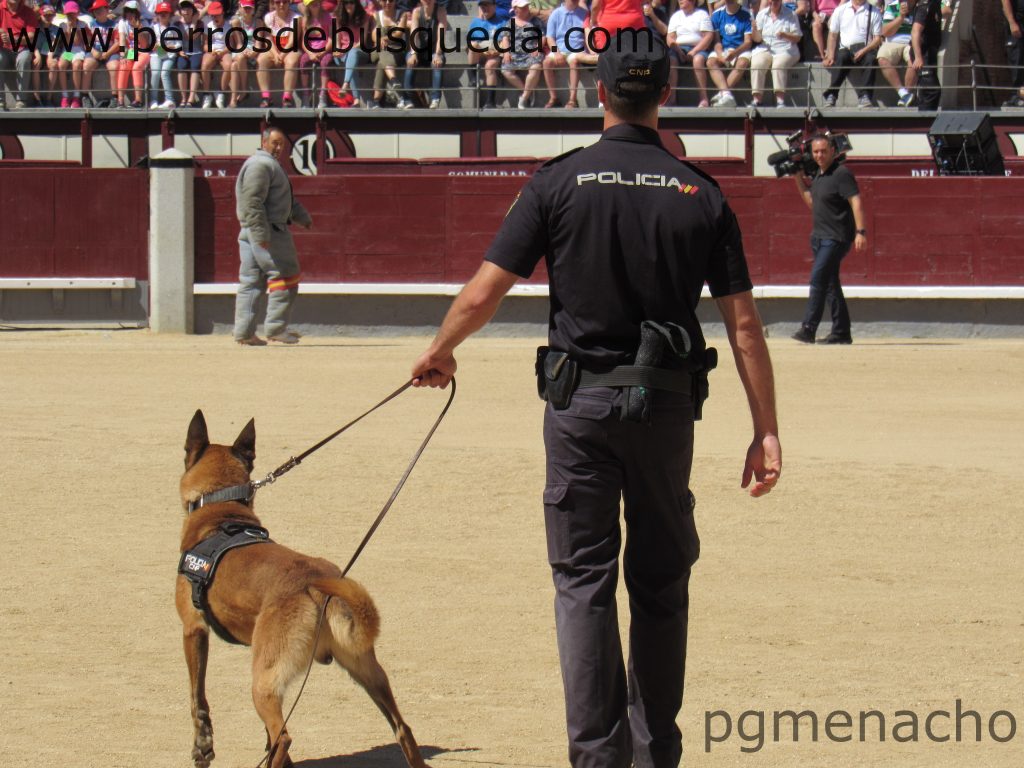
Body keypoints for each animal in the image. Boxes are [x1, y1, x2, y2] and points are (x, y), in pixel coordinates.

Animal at [176, 411, 428, 768]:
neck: (222, 511)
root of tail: (322, 588)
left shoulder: (193, 629)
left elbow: (198, 698)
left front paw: (203, 747)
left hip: (264, 681)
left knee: (284, 736)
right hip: (365, 669)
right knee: (402, 728)